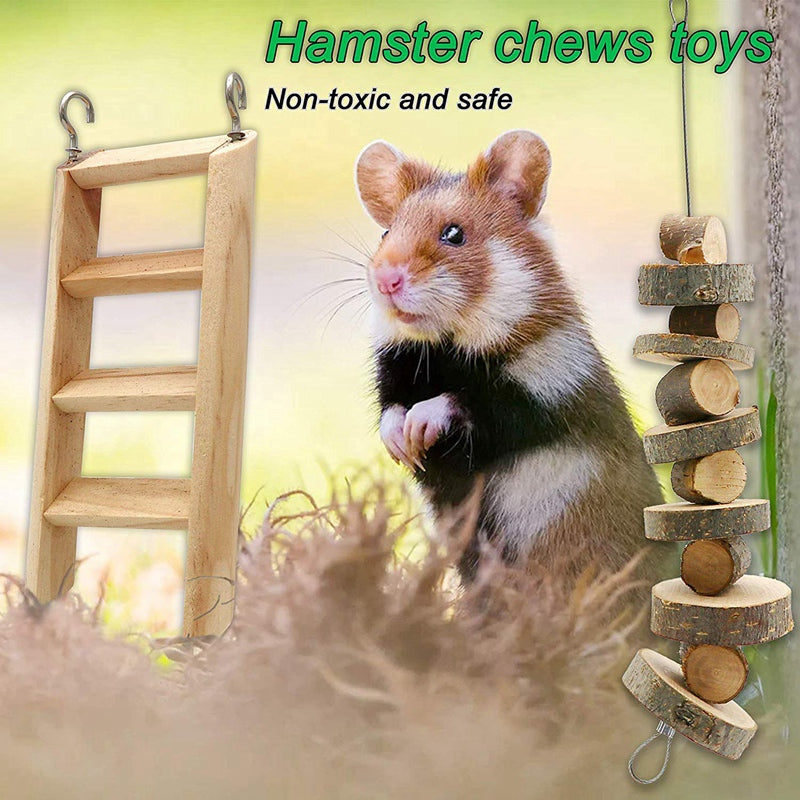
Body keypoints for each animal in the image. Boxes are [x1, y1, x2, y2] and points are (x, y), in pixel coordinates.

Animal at [354, 130, 664, 581]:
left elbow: (469, 404)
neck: (446, 349)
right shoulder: (398, 371)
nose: (385, 280)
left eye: (454, 234)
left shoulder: (545, 391)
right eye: (386, 233)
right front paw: (402, 444)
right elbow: (391, 409)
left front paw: (418, 428)